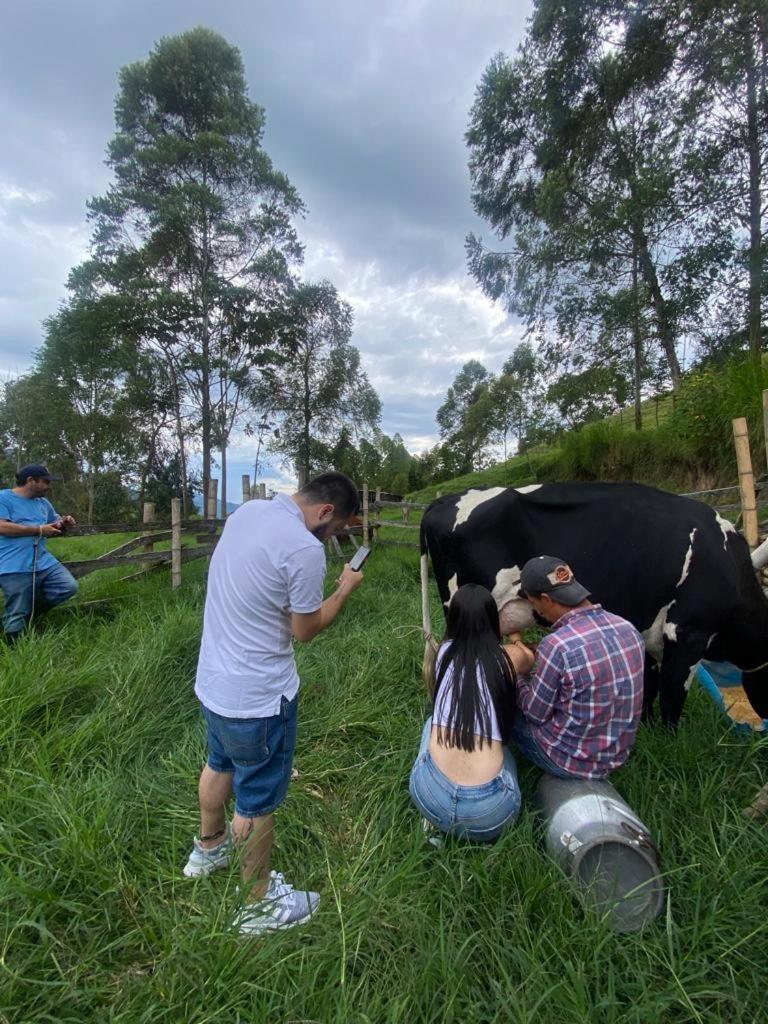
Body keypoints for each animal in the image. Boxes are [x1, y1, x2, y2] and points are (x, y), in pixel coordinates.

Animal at [421, 481, 768, 729]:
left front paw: (646, 730)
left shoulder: (649, 632)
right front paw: (669, 742)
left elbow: (649, 686)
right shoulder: (687, 634)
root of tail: (444, 500)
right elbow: (672, 697)